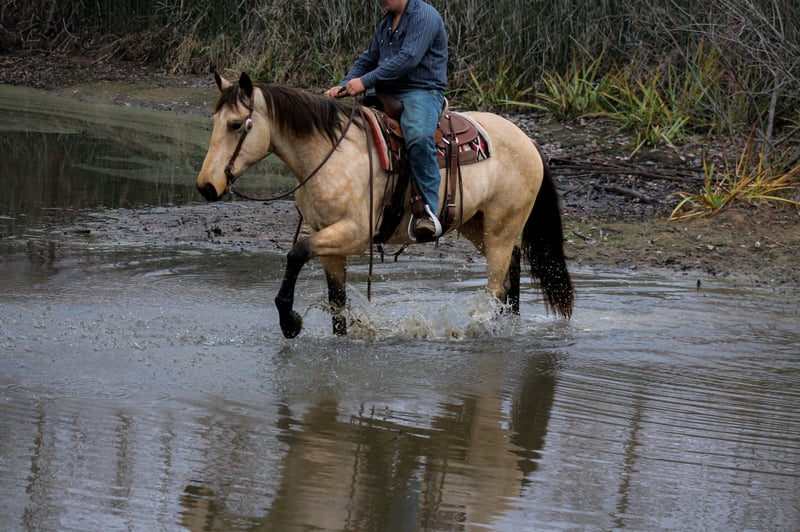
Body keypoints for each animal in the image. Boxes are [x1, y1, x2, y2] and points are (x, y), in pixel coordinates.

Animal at [196, 72, 573, 338]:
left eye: (235, 125)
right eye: (213, 123)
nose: (206, 186)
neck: (330, 152)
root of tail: (528, 141)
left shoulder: (353, 233)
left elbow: (296, 252)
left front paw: (290, 321)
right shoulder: (327, 236)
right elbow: (337, 300)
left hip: (501, 228)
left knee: (497, 285)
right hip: (477, 225)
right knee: (513, 266)